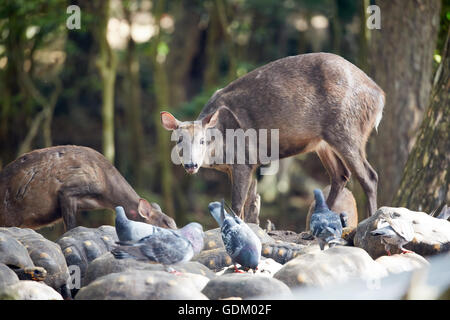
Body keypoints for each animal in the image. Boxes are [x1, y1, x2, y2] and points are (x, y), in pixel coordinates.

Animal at [161, 52, 384, 222]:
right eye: (179, 140)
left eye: (202, 140)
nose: (191, 165)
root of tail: (380, 96)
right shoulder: (244, 166)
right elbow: (247, 204)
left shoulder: (244, 158)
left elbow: (236, 205)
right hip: (323, 142)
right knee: (341, 175)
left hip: (347, 128)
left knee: (369, 176)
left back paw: (370, 220)